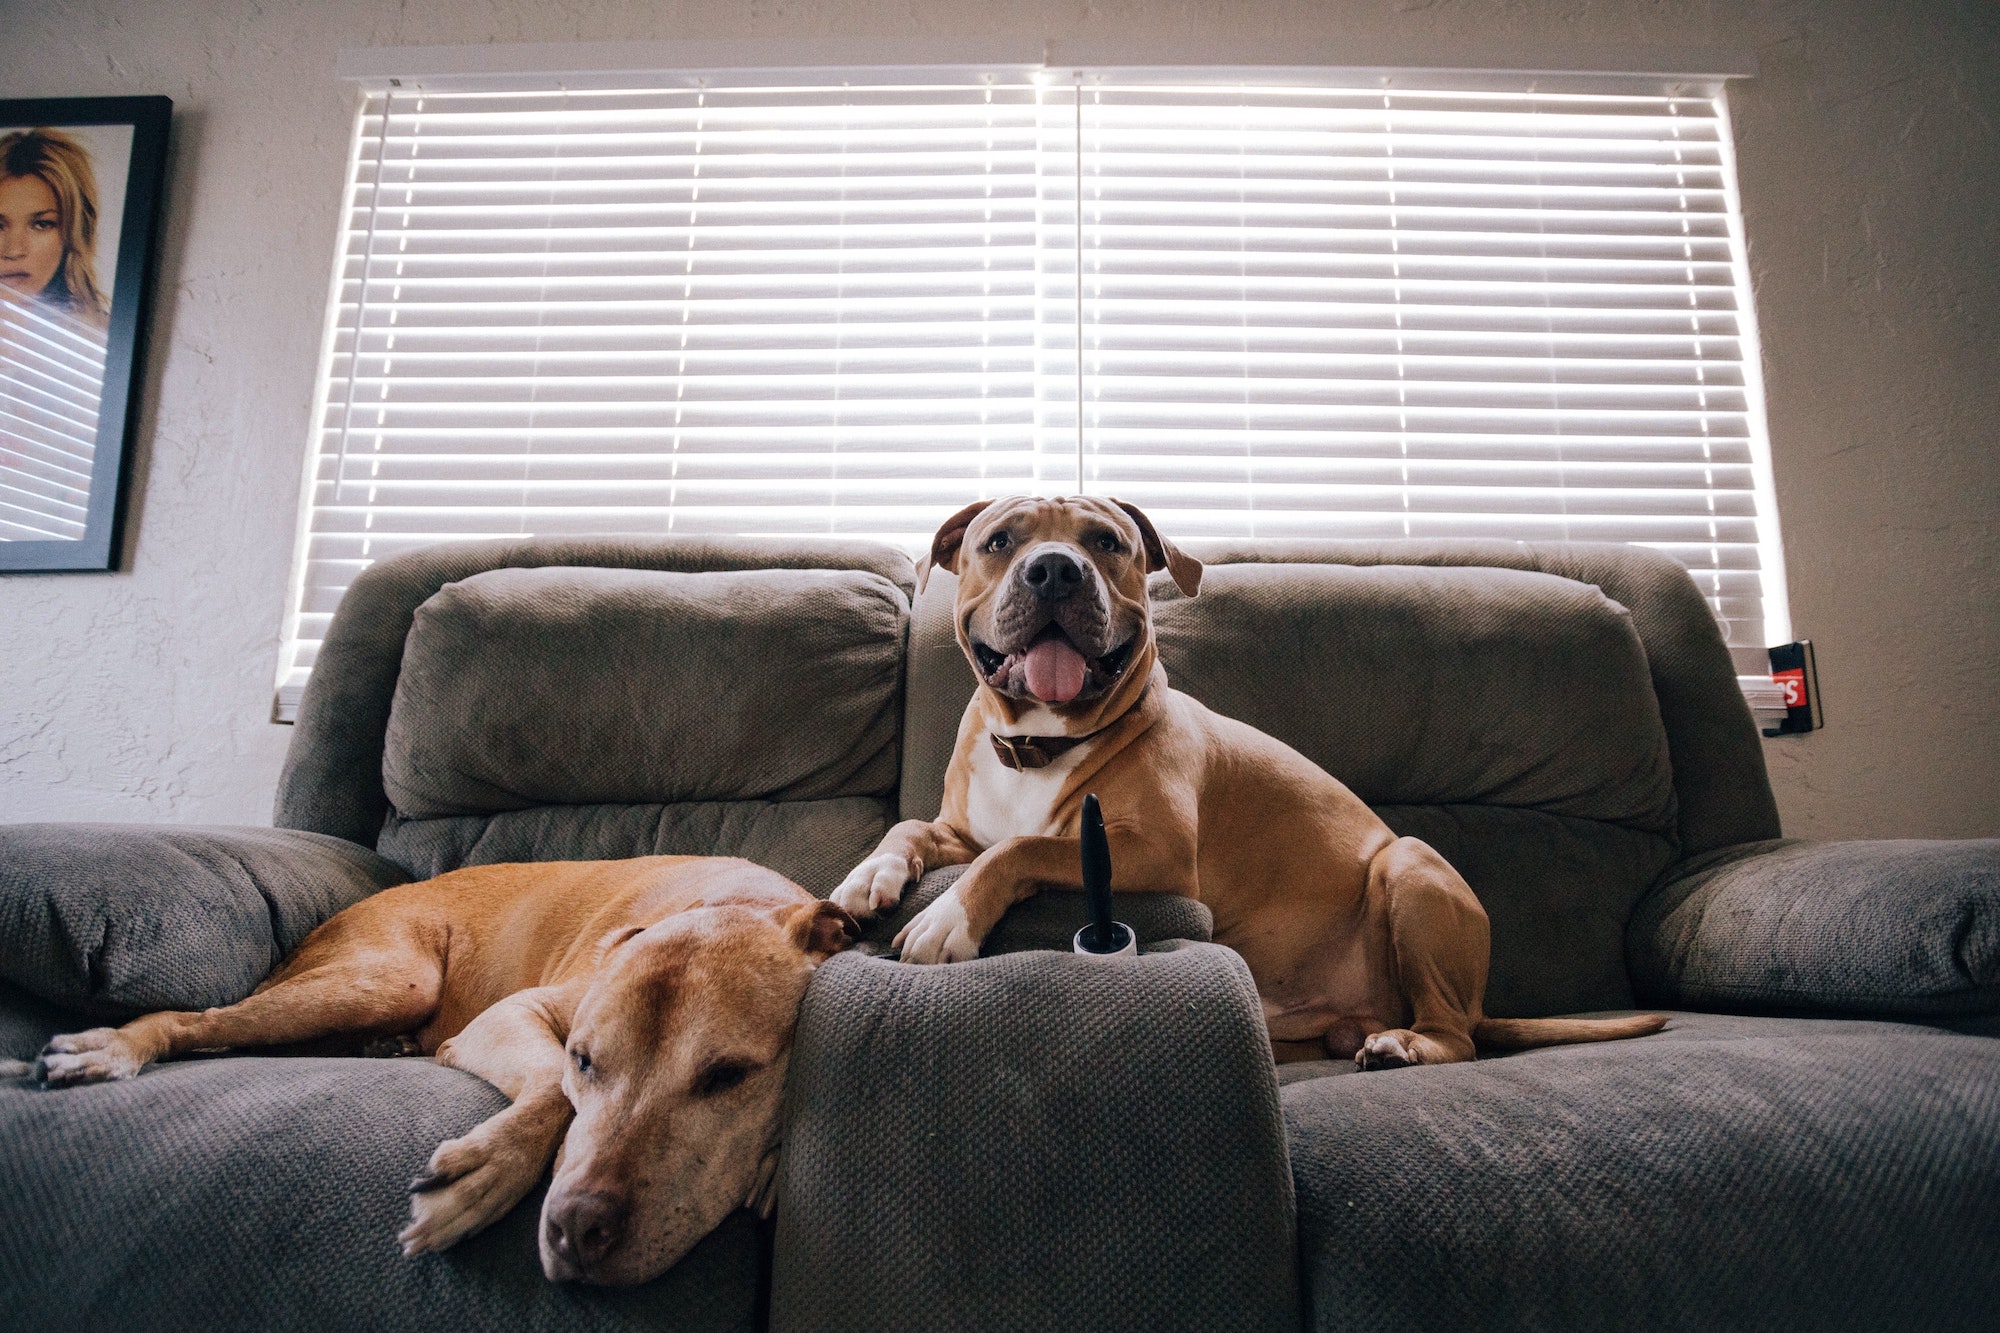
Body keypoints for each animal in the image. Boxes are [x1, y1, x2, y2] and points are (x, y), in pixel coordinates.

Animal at [33, 856, 860, 1280]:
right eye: (585, 1061)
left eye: (728, 1076)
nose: (575, 1229)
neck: (734, 900)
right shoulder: (512, 1016)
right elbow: (548, 1096)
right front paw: (485, 1173)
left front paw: (771, 1168)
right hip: (388, 978)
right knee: (201, 1019)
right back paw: (114, 1045)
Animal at [828, 498, 1656, 1072]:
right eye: (999, 541)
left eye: (1107, 542)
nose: (1055, 568)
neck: (1040, 740)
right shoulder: (961, 828)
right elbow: (912, 830)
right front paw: (868, 876)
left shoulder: (1155, 853)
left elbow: (1022, 850)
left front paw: (948, 919)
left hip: (1410, 865)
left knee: (1455, 1034)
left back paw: (1405, 1044)